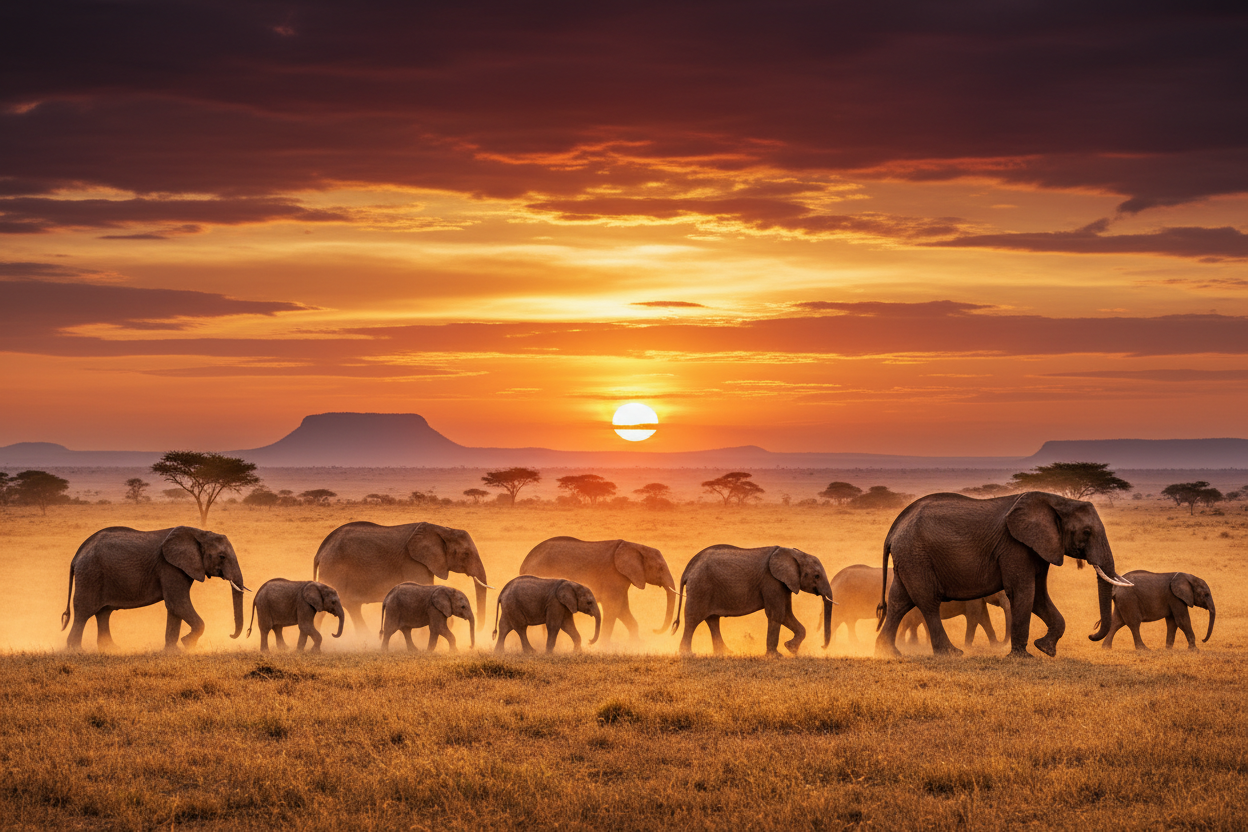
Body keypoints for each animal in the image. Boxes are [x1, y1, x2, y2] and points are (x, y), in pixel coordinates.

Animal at [62, 526, 247, 651]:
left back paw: (111, 649)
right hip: (90, 574)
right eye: (222, 557)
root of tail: (77, 555)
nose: (231, 635)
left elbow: (175, 608)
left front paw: (173, 652)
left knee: (103, 613)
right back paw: (76, 651)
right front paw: (187, 644)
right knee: (84, 612)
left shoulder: (178, 567)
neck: (199, 533)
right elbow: (177, 603)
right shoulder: (169, 566)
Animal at [313, 521, 490, 637]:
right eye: (466, 554)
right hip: (333, 567)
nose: (480, 630)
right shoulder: (413, 561)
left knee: (352, 606)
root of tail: (321, 550)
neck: (443, 529)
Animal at [518, 536, 677, 644]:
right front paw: (605, 647)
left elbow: (622, 609)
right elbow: (613, 608)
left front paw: (636, 644)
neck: (635, 546)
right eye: (660, 568)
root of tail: (524, 563)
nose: (654, 630)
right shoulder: (613, 575)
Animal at [673, 545, 835, 657]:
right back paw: (688, 654)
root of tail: (689, 568)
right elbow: (777, 614)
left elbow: (786, 614)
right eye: (817, 576)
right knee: (693, 619)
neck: (794, 553)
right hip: (700, 587)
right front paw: (776, 656)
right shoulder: (772, 581)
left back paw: (726, 653)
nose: (822, 647)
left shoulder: (784, 584)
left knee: (713, 620)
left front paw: (791, 649)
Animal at [876, 491, 1133, 658]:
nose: (1091, 634)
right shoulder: (1014, 546)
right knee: (927, 602)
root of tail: (893, 529)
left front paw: (1045, 649)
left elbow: (1038, 596)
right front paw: (1023, 657)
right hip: (916, 555)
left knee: (899, 600)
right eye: (1086, 532)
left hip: (909, 558)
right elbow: (1023, 592)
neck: (1059, 501)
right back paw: (950, 653)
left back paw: (888, 652)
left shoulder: (1038, 547)